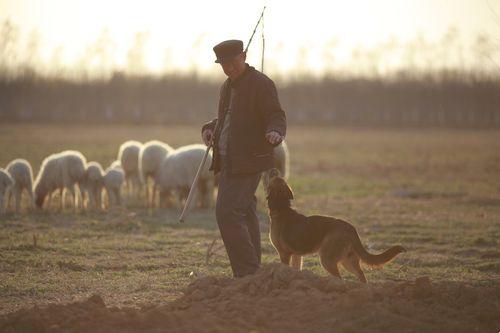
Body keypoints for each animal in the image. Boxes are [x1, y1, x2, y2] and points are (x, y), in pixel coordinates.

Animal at [268, 167, 404, 282]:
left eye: (273, 178)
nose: (274, 170)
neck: (281, 207)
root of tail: (351, 228)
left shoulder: (284, 254)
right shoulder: (297, 255)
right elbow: (296, 269)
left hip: (327, 259)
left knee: (340, 278)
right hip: (347, 260)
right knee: (361, 275)